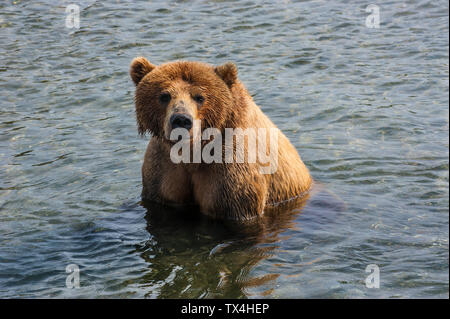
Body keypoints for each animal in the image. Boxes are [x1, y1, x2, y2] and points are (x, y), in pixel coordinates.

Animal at [130, 57, 312, 221]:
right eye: (164, 95)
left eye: (199, 97)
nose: (181, 119)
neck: (193, 152)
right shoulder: (163, 167)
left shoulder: (231, 167)